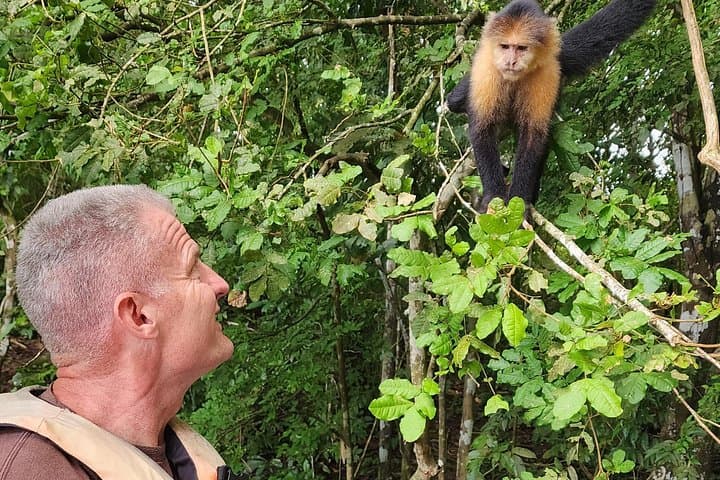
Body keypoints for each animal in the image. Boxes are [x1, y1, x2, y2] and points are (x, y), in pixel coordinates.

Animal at [446, 0, 657, 212]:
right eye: (505, 46)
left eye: (521, 48)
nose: (510, 61)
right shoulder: (487, 69)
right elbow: (482, 127)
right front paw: (493, 196)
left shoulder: (547, 71)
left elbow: (534, 134)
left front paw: (521, 199)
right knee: (455, 101)